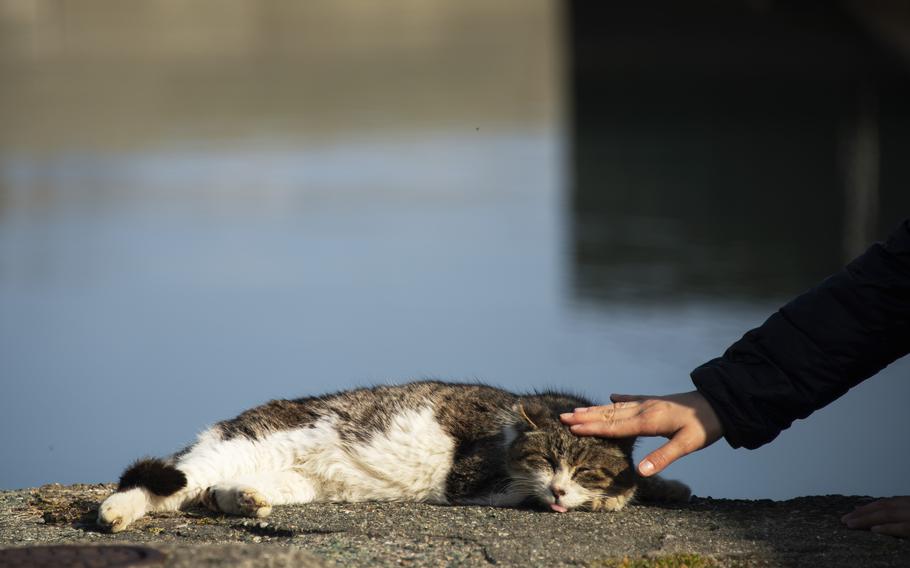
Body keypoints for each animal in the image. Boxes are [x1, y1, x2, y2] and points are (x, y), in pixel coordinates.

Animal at [98, 382, 692, 532]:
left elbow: (638, 475)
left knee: (199, 494)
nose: (561, 488)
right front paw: (608, 501)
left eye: (584, 467)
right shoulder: (470, 479)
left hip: (292, 482)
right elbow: (520, 492)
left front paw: (658, 485)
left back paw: (243, 499)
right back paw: (116, 511)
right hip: (234, 448)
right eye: (546, 461)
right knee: (164, 484)